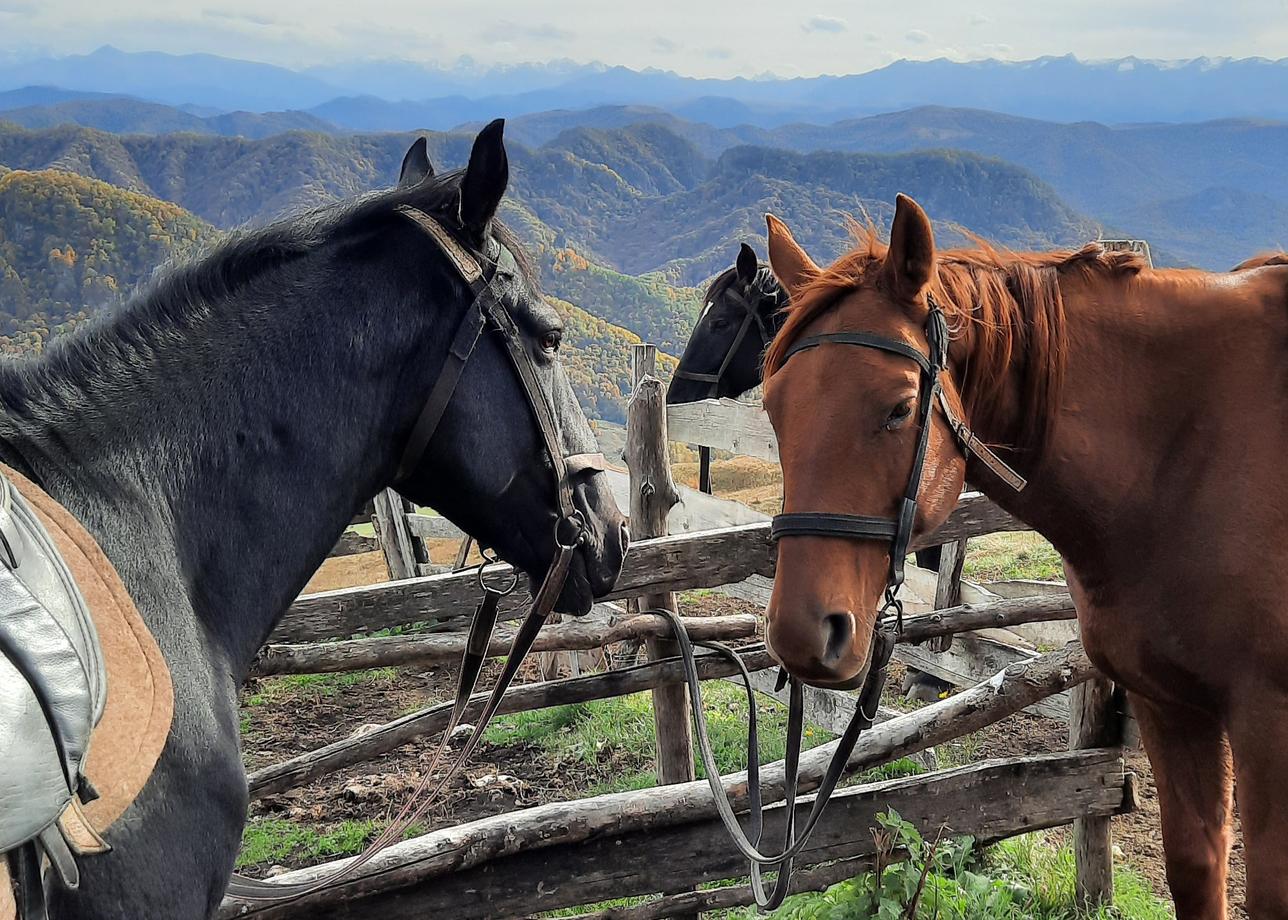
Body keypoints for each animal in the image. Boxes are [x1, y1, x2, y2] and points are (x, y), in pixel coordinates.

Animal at [757, 195, 1288, 917]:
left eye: (899, 408)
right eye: (773, 407)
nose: (801, 634)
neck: (1188, 454)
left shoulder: (1270, 722)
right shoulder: (1170, 705)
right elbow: (1196, 867)